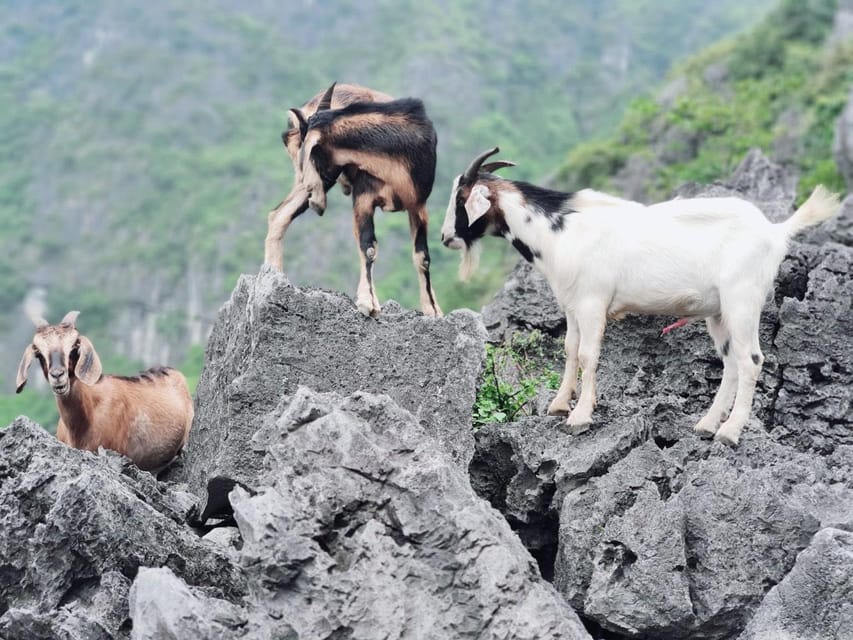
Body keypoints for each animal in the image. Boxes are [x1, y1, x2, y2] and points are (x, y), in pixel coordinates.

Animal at [442, 148, 844, 444]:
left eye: (462, 198)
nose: (446, 237)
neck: (560, 232)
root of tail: (776, 231)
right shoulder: (572, 303)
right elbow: (570, 349)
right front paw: (558, 405)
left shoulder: (592, 302)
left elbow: (588, 354)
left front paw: (580, 417)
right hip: (719, 313)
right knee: (731, 362)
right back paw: (707, 425)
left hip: (743, 299)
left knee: (752, 360)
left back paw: (730, 433)